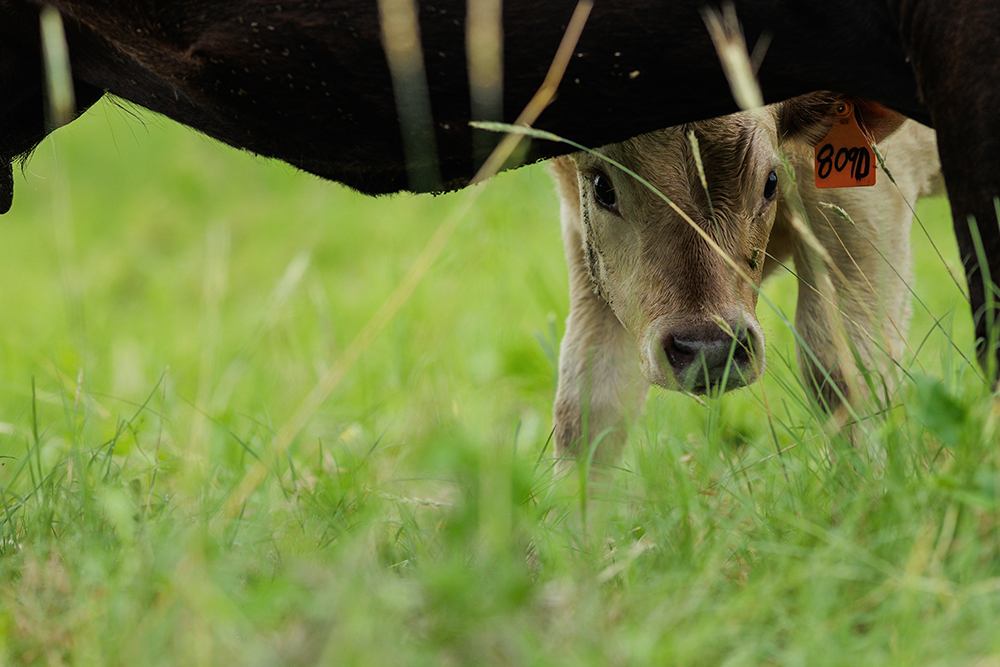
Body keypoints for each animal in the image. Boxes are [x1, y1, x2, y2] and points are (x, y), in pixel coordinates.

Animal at [549, 93, 943, 465]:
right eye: (602, 187)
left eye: (771, 181)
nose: (710, 350)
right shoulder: (587, 247)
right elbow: (590, 400)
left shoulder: (863, 207)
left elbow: (844, 370)